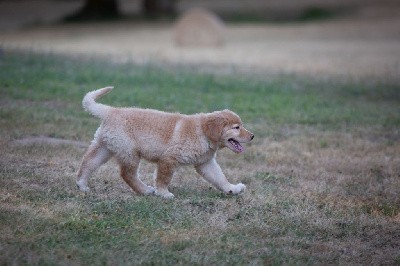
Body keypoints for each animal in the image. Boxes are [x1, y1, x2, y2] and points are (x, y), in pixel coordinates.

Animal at [76, 86, 255, 198]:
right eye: (237, 127)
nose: (252, 136)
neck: (202, 133)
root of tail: (111, 111)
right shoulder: (168, 159)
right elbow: (163, 178)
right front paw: (163, 193)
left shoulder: (206, 163)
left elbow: (219, 178)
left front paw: (232, 189)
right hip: (129, 152)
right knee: (127, 174)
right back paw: (145, 191)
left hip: (104, 148)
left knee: (88, 163)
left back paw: (82, 185)